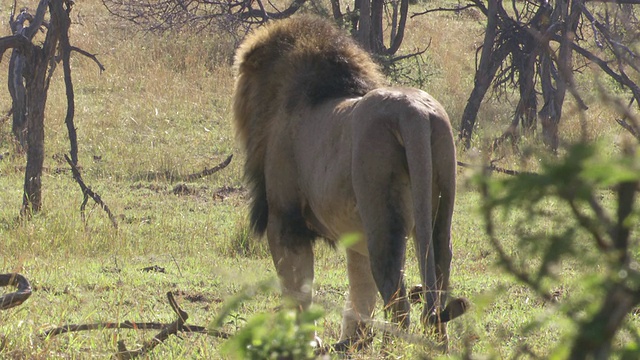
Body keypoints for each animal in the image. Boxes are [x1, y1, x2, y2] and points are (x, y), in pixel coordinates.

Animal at [232, 15, 468, 350]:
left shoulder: (285, 220)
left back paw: (393, 350)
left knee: (397, 297)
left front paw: (306, 342)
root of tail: (415, 114)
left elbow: (298, 289)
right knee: (438, 278)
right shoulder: (356, 236)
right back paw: (436, 346)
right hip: (440, 200)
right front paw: (352, 341)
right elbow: (360, 288)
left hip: (383, 214)